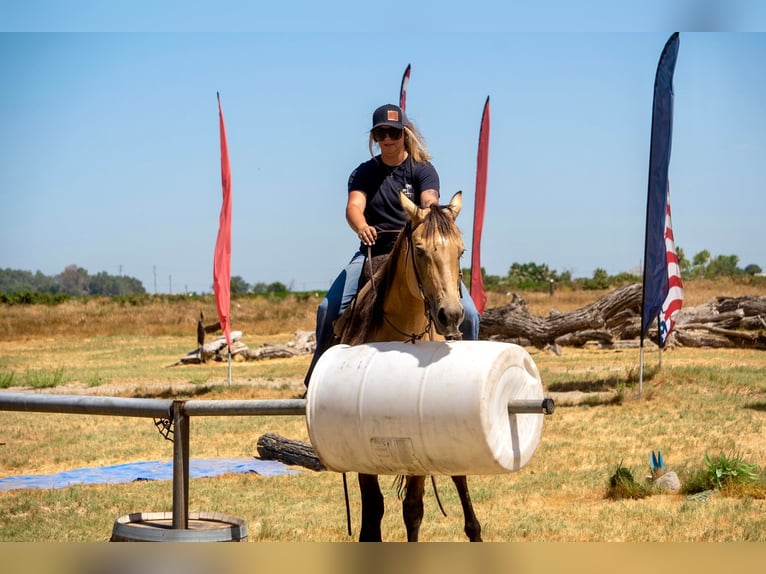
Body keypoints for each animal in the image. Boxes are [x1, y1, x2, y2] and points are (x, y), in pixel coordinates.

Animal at [332, 190, 484, 544]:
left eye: (461, 250)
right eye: (419, 249)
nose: (450, 316)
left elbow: (413, 508)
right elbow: (372, 512)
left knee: (459, 476)